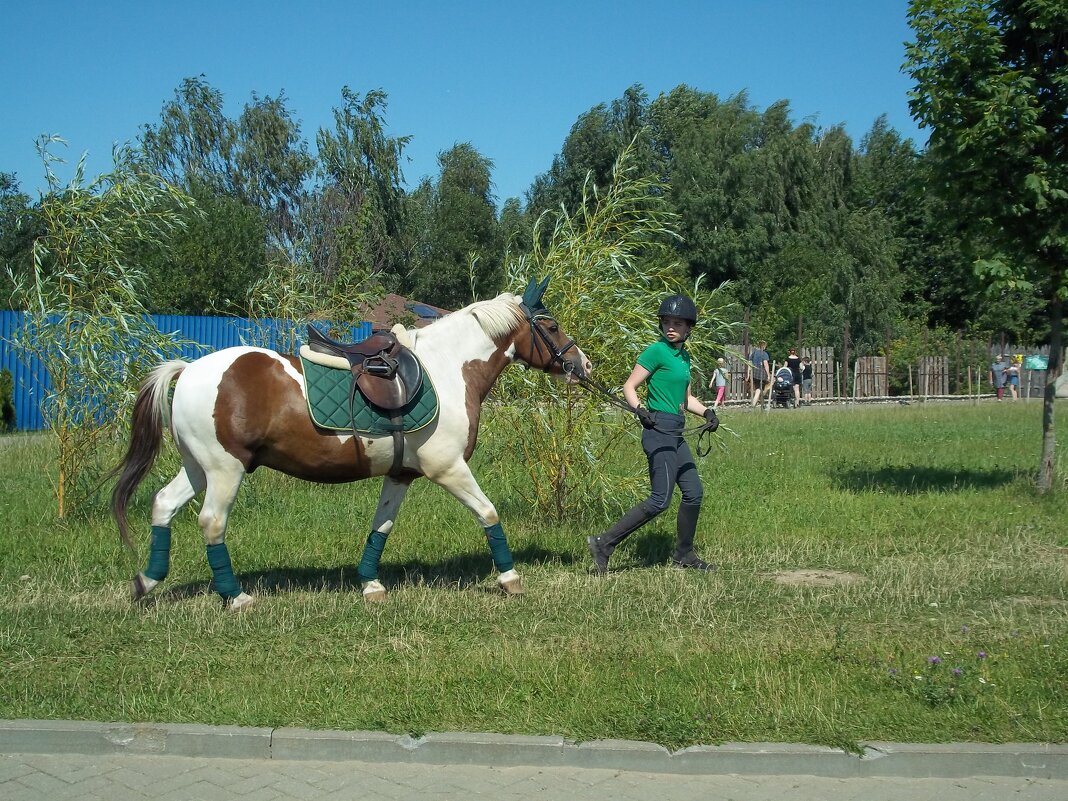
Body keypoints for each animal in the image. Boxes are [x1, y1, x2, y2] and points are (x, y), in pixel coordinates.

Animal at [110, 279, 593, 610]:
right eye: (551, 325)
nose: (583, 364)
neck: (446, 369)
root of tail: (188, 370)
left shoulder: (402, 474)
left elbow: (381, 527)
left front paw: (370, 584)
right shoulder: (448, 468)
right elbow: (488, 513)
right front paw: (510, 578)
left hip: (199, 468)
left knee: (163, 504)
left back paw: (146, 582)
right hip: (225, 471)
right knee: (211, 523)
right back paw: (236, 597)